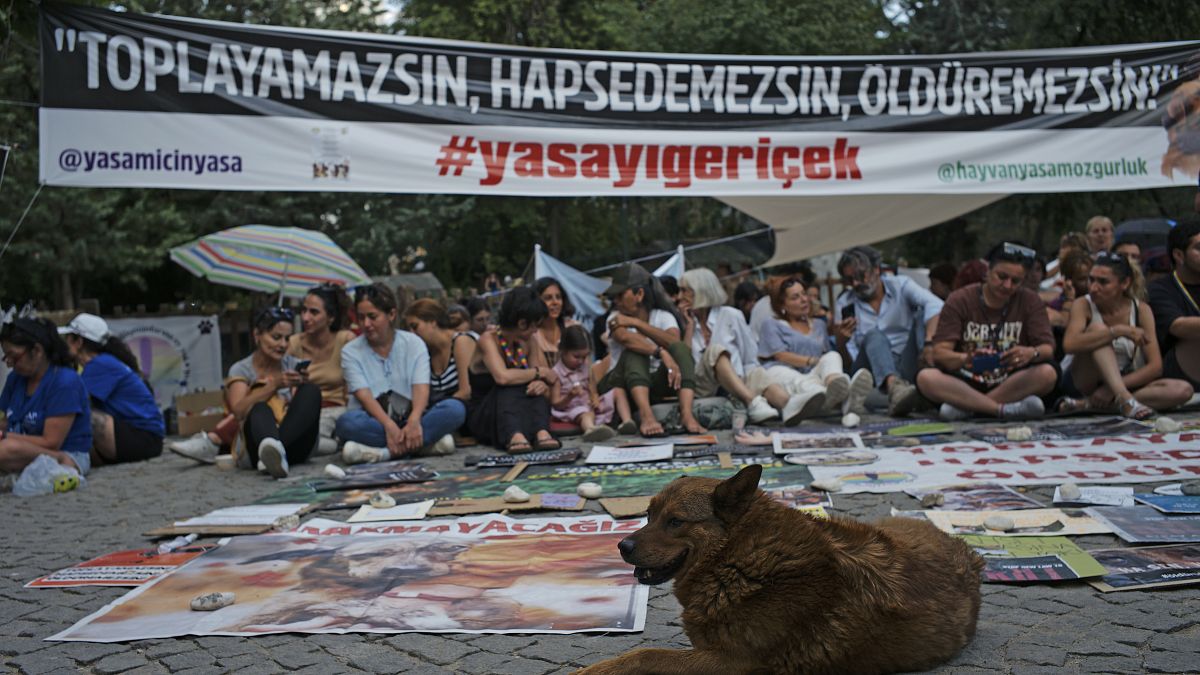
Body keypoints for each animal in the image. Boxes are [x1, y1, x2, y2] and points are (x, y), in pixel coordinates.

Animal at [580, 461, 984, 672]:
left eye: (675, 521)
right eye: (648, 515)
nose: (622, 545)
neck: (737, 557)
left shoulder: (732, 662)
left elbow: (642, 655)